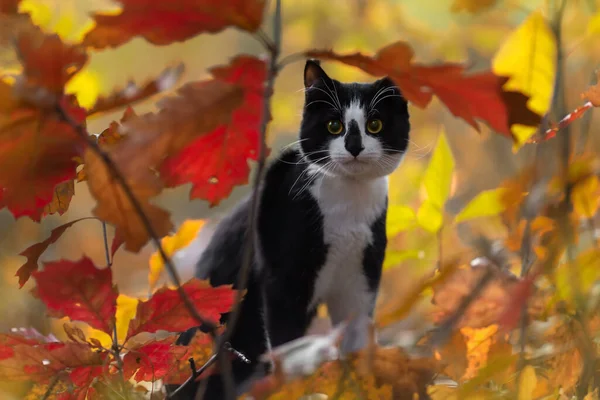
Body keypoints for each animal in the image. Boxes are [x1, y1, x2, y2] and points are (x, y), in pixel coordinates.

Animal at [171, 59, 410, 400]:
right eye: (334, 125)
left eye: (375, 124)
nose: (354, 146)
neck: (347, 210)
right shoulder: (282, 274)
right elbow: (287, 344)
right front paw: (294, 388)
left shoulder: (362, 273)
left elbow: (357, 338)